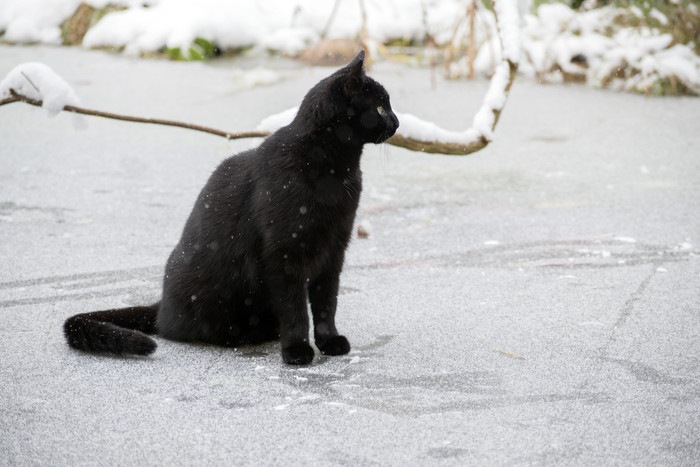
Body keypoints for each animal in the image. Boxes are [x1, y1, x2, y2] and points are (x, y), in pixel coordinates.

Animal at [63, 51, 400, 366]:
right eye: (380, 107)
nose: (396, 122)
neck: (334, 172)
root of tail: (161, 304)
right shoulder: (284, 252)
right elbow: (295, 308)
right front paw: (297, 350)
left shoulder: (333, 249)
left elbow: (327, 302)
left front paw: (330, 342)